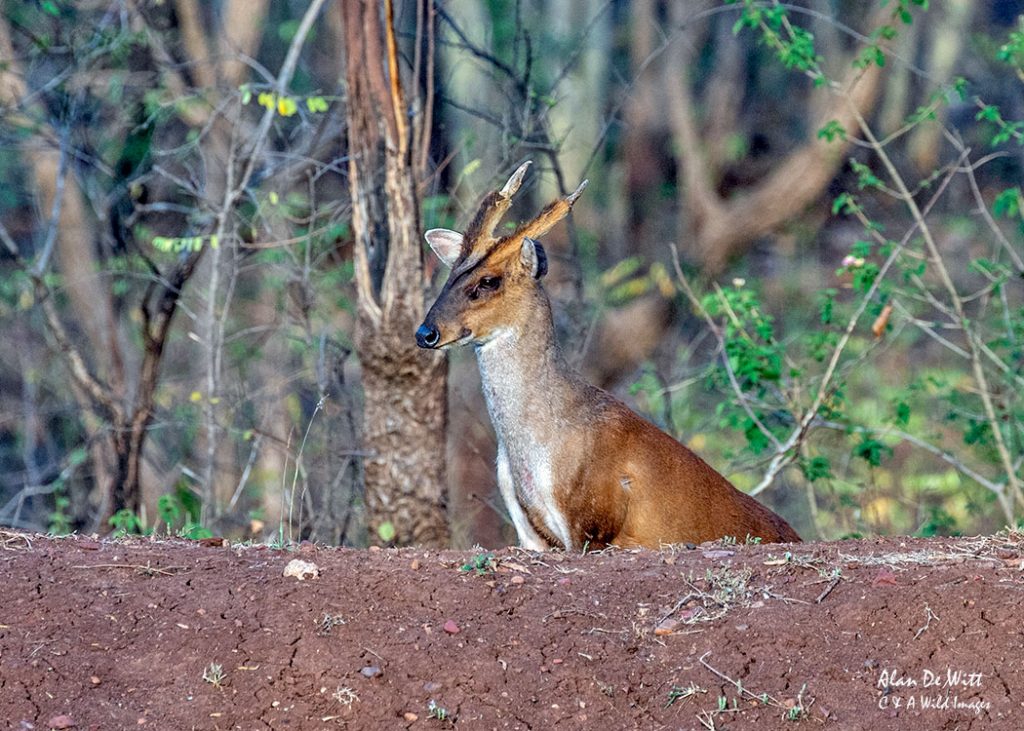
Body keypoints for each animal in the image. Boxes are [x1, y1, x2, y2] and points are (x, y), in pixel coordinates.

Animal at [415, 162, 800, 550]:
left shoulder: (592, 518)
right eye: (451, 274)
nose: (426, 333)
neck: (535, 449)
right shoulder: (529, 530)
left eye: (489, 281)